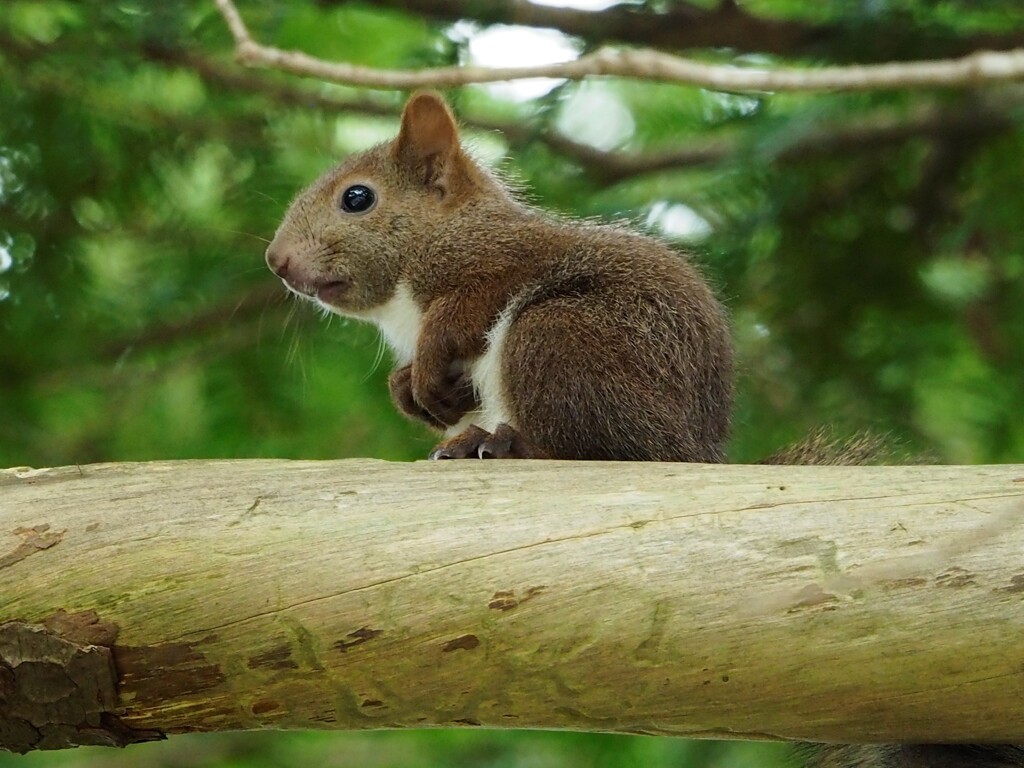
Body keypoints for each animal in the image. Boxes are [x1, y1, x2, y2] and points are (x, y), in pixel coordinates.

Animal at [266, 91, 1024, 768]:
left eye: (357, 199)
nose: (276, 261)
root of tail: (693, 451)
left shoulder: (495, 266)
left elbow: (461, 314)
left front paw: (424, 376)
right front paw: (412, 393)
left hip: (557, 337)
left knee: (596, 449)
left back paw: (499, 442)